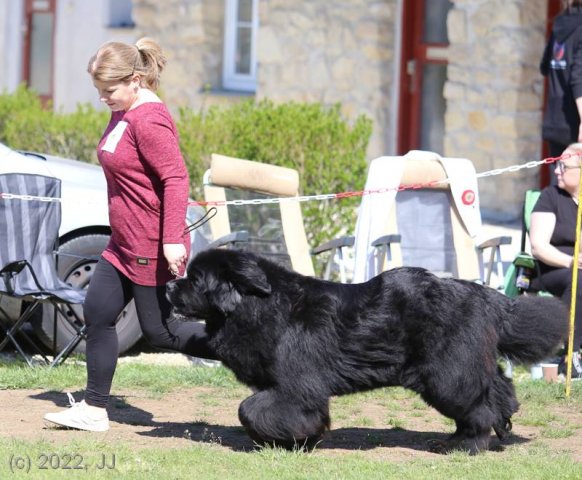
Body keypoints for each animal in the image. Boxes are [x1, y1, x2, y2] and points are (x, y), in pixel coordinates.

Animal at [167, 248, 568, 454]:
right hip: (461, 367)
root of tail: (485, 295)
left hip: (446, 373)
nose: (169, 285)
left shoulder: (295, 387)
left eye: (195, 280)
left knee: (478, 405)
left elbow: (252, 409)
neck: (259, 306)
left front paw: (294, 439)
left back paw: (464, 445)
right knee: (497, 390)